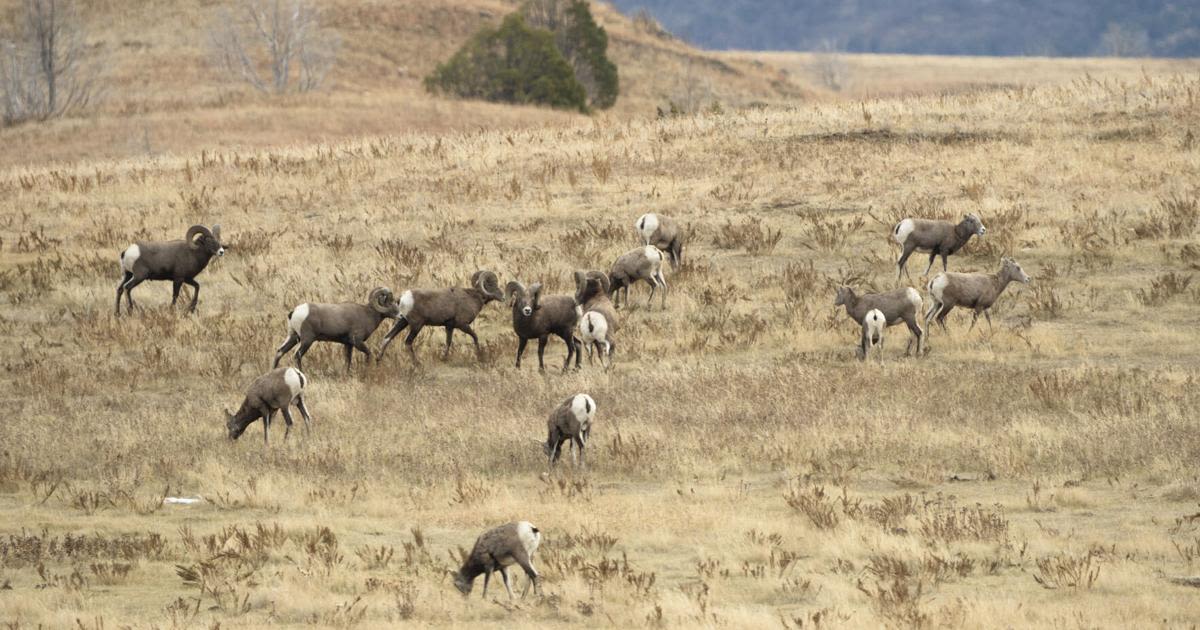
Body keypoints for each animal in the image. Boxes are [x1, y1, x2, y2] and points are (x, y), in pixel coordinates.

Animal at [376, 270, 504, 362]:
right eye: (492, 284)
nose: (503, 297)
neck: (472, 298)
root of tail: (402, 298)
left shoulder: (449, 326)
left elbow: (448, 342)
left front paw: (444, 358)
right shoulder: (462, 325)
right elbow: (475, 337)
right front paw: (480, 357)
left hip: (402, 322)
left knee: (387, 338)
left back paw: (378, 360)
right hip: (416, 326)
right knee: (408, 342)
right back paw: (417, 363)